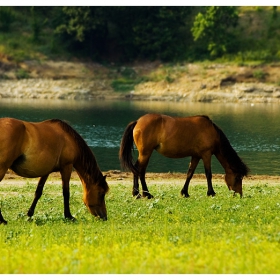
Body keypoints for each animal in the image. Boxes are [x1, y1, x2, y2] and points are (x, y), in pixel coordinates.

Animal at [118, 114, 249, 199]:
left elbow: (189, 174)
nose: (240, 194)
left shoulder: (196, 156)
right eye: (238, 177)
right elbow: (208, 174)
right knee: (140, 170)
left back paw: (137, 193)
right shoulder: (206, 155)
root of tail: (137, 121)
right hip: (146, 153)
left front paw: (184, 192)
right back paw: (145, 194)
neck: (211, 131)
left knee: (136, 169)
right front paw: (211, 192)